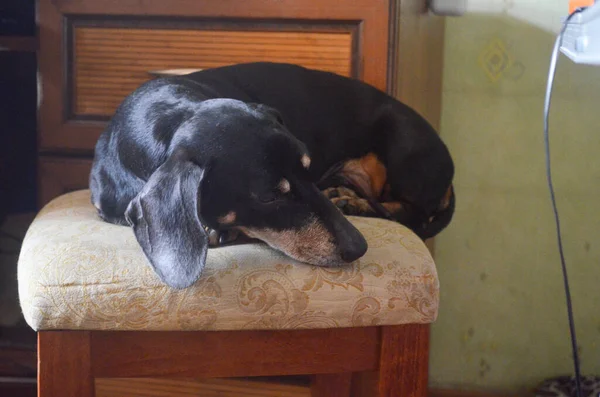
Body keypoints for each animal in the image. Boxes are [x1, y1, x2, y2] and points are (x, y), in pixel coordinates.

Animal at [89, 62, 454, 290]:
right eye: (269, 196)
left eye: (308, 168)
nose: (359, 247)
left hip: (403, 146)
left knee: (410, 211)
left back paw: (353, 202)